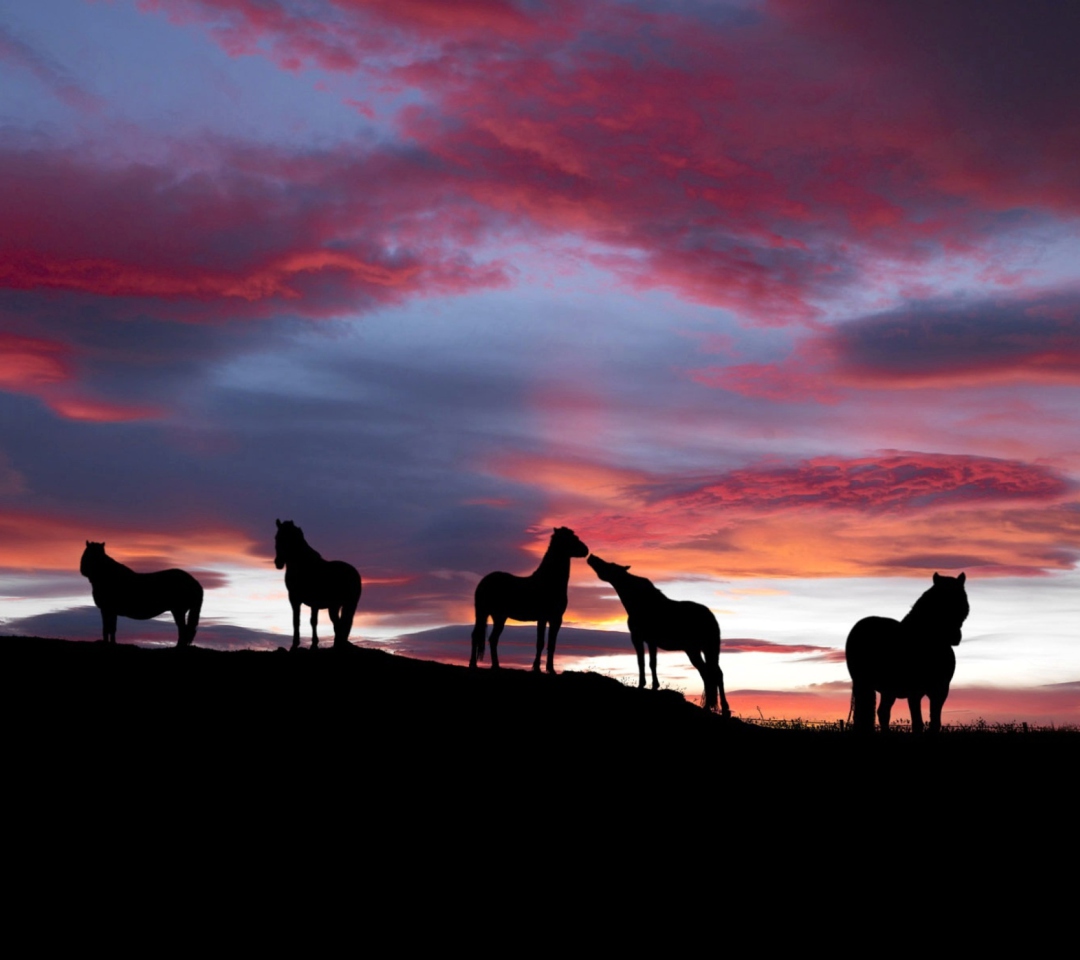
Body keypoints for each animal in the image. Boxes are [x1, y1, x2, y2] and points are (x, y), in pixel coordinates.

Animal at [274, 516, 362, 652]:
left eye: (289, 538)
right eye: (277, 537)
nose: (278, 562)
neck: (303, 565)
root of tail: (354, 572)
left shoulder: (314, 601)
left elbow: (313, 621)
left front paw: (314, 645)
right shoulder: (294, 599)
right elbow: (296, 620)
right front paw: (294, 645)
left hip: (349, 604)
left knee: (342, 624)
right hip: (335, 606)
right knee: (339, 623)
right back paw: (338, 644)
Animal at [473, 524, 591, 673]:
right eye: (571, 538)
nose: (586, 549)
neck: (549, 581)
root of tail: (484, 581)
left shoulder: (556, 619)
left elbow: (552, 644)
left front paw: (550, 669)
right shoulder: (543, 617)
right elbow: (540, 643)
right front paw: (537, 668)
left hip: (497, 616)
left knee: (491, 638)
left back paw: (494, 666)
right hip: (485, 613)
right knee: (480, 637)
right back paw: (475, 665)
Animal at [587, 550, 730, 717]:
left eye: (610, 566)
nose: (592, 557)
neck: (639, 602)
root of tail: (711, 617)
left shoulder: (640, 638)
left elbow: (646, 662)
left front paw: (645, 686)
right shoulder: (647, 640)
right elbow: (648, 662)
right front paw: (653, 685)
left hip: (702, 648)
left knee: (713, 674)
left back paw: (721, 709)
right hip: (700, 649)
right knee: (709, 674)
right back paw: (711, 708)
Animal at [842, 570, 972, 734]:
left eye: (962, 600)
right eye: (940, 600)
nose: (955, 637)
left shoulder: (940, 691)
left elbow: (935, 723)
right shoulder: (915, 692)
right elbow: (918, 723)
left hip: (888, 690)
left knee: (883, 712)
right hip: (864, 684)